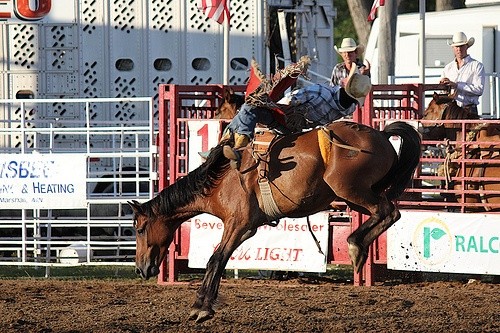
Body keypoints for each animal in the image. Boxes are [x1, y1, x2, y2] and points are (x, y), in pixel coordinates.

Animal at [129, 119, 422, 322]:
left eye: (140, 229)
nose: (141, 269)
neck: (220, 180)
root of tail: (381, 134)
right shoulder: (245, 229)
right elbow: (220, 261)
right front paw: (203, 305)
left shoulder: (237, 224)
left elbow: (216, 259)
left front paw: (200, 307)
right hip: (353, 195)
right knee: (385, 213)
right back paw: (358, 248)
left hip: (350, 189)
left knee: (389, 212)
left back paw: (355, 247)